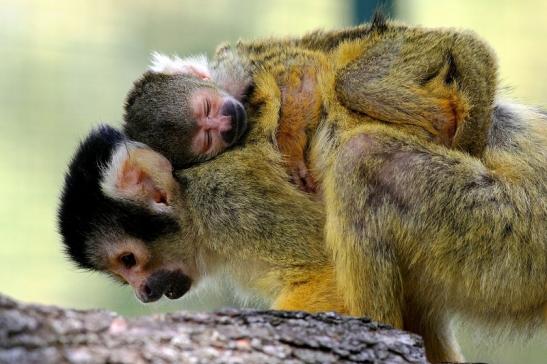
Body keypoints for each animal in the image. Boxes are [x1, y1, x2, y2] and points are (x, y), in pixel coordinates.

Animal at [124, 16, 496, 192]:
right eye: (206, 137)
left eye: (206, 108)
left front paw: (290, 150)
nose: (228, 123)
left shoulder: (239, 66)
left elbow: (303, 74)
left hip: (402, 46)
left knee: (353, 82)